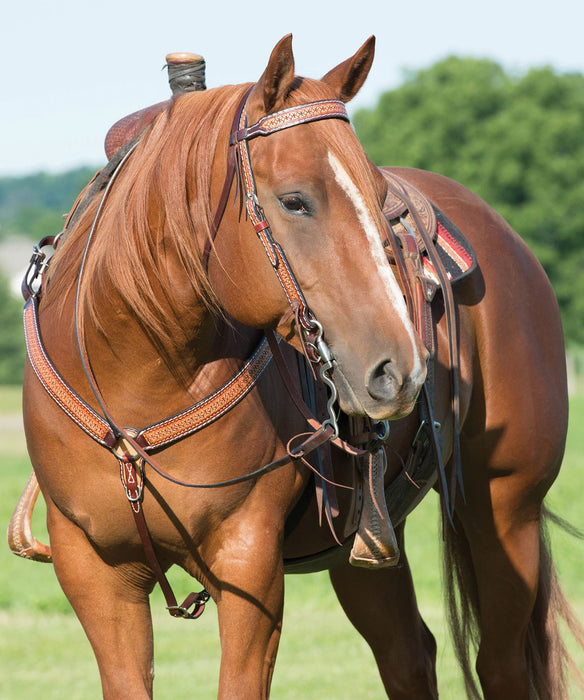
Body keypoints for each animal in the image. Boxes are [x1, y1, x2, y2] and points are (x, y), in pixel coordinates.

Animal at [17, 35, 580, 696]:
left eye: (378, 197)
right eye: (294, 200)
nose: (400, 370)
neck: (138, 385)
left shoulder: (248, 566)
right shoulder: (95, 575)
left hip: (505, 510)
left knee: (499, 660)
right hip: (370, 542)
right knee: (409, 653)